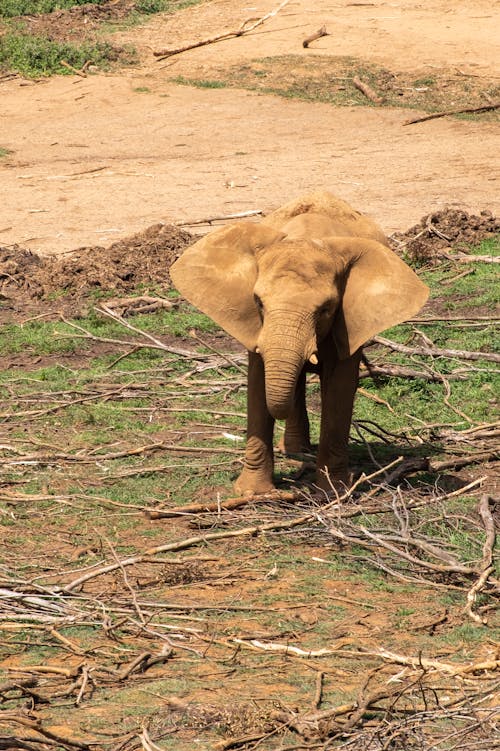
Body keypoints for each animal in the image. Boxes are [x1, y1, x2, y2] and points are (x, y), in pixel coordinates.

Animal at [170, 192, 428, 494]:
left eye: (326, 309)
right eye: (258, 302)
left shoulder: (348, 323)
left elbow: (340, 388)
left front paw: (332, 491)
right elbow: (257, 384)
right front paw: (252, 493)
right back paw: (296, 451)